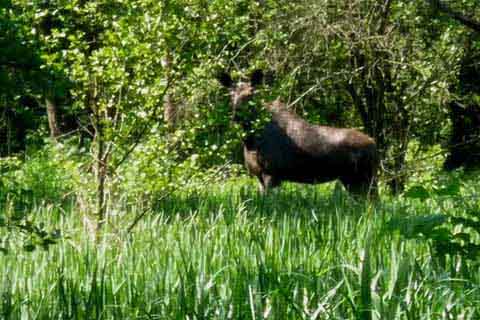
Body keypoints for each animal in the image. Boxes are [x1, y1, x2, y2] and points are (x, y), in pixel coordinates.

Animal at [218, 69, 378, 196]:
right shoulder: (259, 175)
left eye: (250, 94)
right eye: (230, 95)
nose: (237, 115)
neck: (250, 141)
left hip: (363, 177)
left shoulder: (272, 173)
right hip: (352, 179)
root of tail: (374, 144)